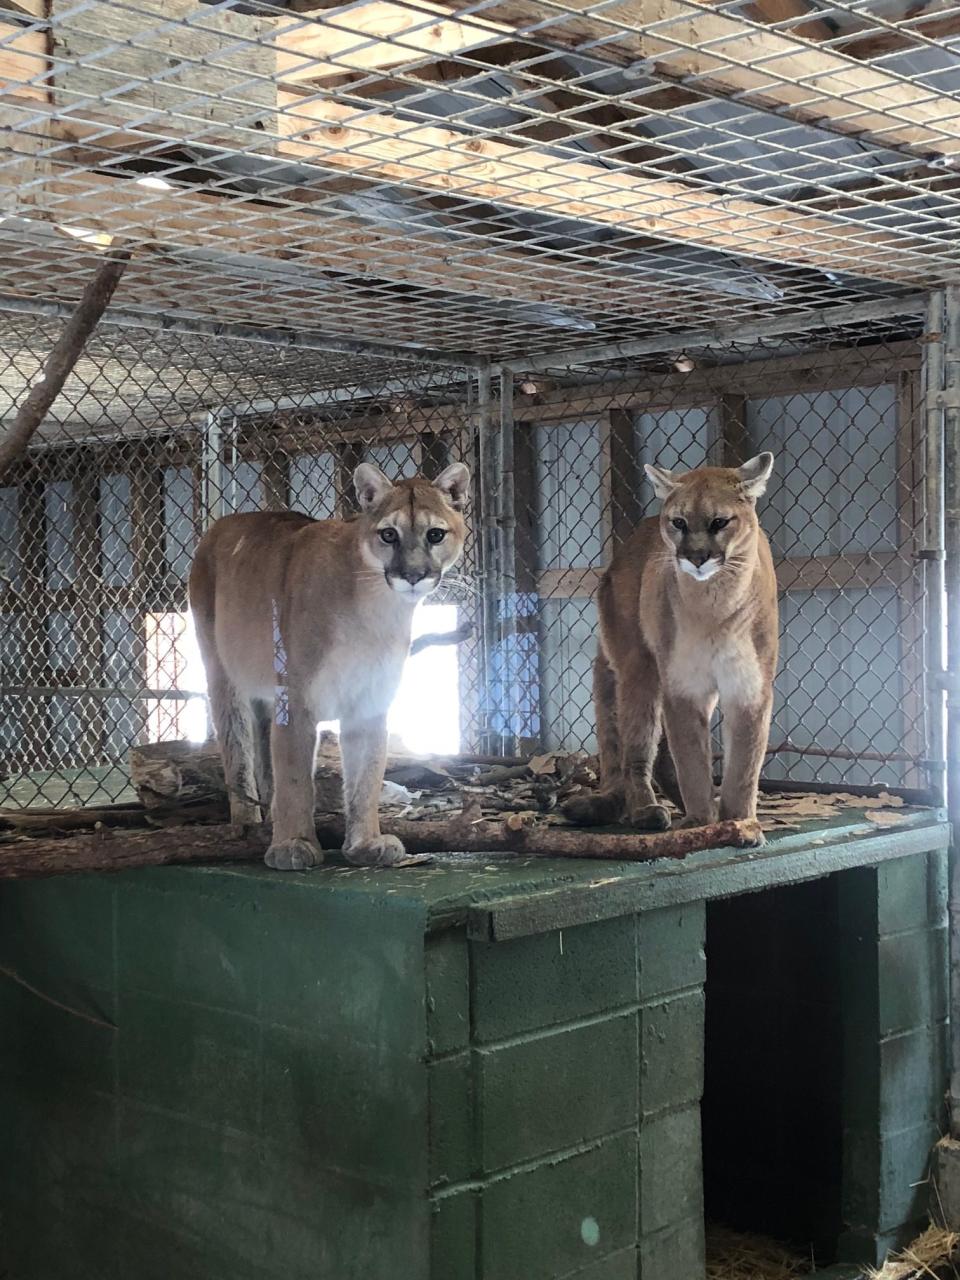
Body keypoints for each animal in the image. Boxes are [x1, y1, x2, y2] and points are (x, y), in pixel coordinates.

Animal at [189, 460, 471, 870]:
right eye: (389, 534)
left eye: (435, 534)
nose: (413, 575)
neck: (376, 609)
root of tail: (223, 523)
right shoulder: (296, 697)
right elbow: (294, 776)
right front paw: (293, 843)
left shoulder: (370, 701)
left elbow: (366, 776)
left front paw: (365, 843)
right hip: (222, 672)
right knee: (236, 744)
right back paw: (247, 823)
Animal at [568, 453, 778, 839]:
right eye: (678, 522)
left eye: (719, 522)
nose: (696, 557)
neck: (714, 605)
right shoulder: (683, 685)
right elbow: (691, 756)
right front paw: (701, 822)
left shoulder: (749, 687)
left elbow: (744, 764)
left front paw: (740, 822)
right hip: (639, 669)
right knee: (636, 751)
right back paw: (646, 809)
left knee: (663, 756)